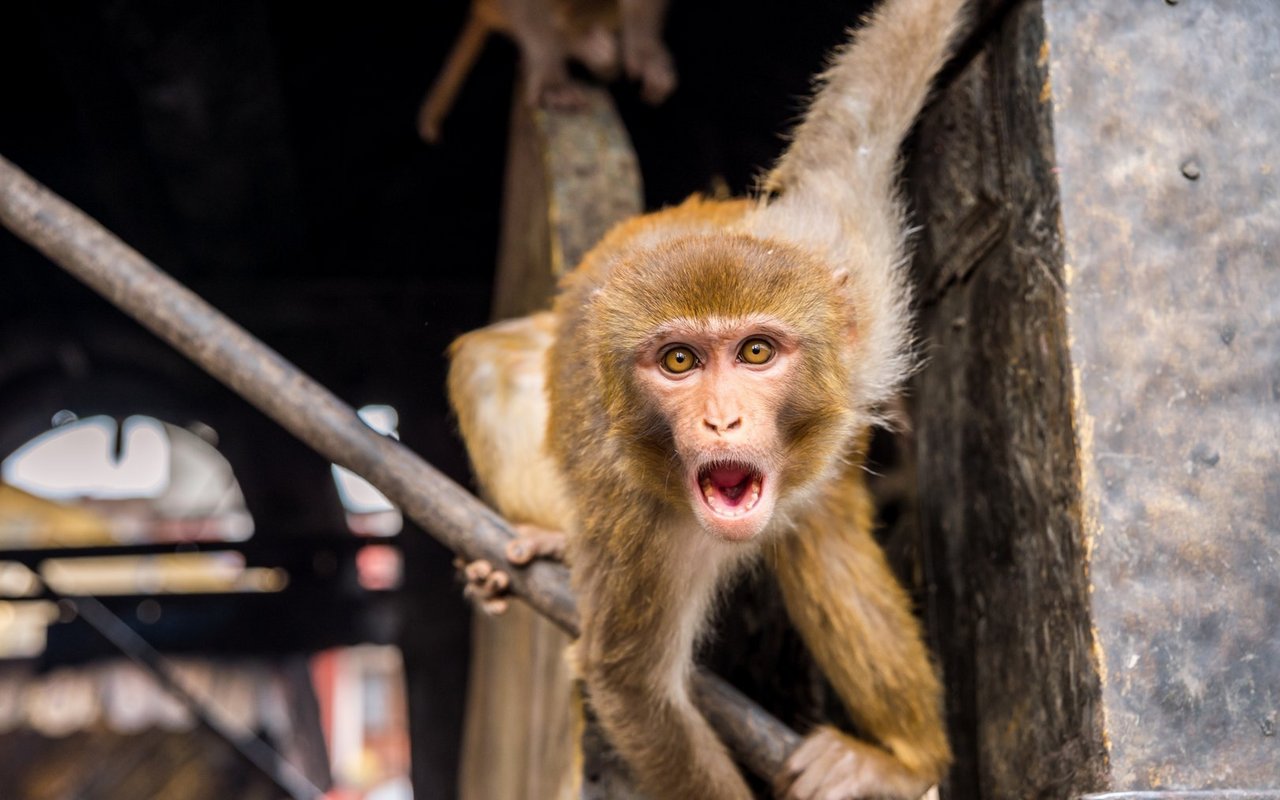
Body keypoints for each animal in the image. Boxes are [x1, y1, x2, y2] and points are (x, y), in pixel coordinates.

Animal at [447, 0, 967, 796]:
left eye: (756, 352)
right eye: (679, 362)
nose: (723, 418)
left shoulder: (840, 253)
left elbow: (857, 114)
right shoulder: (633, 513)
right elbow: (631, 684)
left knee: (821, 540)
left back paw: (901, 761)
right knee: (484, 365)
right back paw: (546, 537)